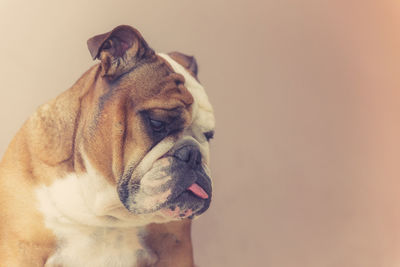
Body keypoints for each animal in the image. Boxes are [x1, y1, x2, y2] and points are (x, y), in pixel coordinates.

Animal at [0, 25, 216, 267]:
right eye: (157, 122)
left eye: (209, 136)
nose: (194, 155)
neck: (102, 207)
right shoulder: (23, 250)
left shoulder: (175, 249)